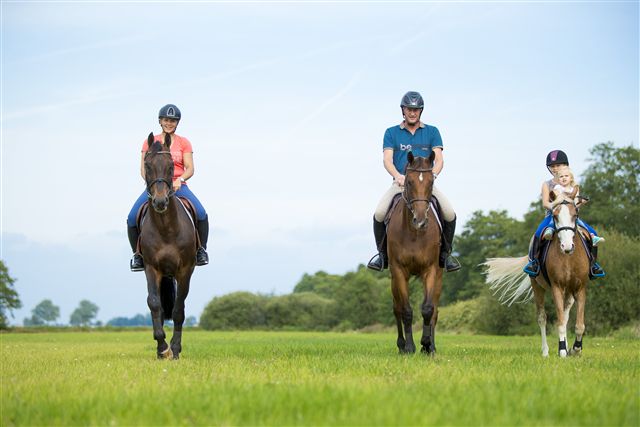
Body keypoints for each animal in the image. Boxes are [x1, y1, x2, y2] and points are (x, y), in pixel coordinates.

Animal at [384, 152, 444, 356]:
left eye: (431, 182)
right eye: (409, 182)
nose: (421, 221)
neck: (414, 233)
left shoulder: (431, 270)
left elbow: (427, 309)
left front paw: (426, 344)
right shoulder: (399, 272)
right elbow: (406, 311)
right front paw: (410, 347)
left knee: (435, 311)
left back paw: (431, 346)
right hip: (394, 280)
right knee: (396, 309)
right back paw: (401, 345)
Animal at [484, 189, 592, 360]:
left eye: (575, 215)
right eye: (555, 216)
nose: (567, 246)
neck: (568, 257)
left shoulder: (580, 289)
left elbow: (579, 325)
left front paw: (575, 349)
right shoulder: (556, 287)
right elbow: (559, 322)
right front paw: (562, 350)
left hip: (568, 292)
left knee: (566, 316)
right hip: (537, 287)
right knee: (542, 318)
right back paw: (546, 351)